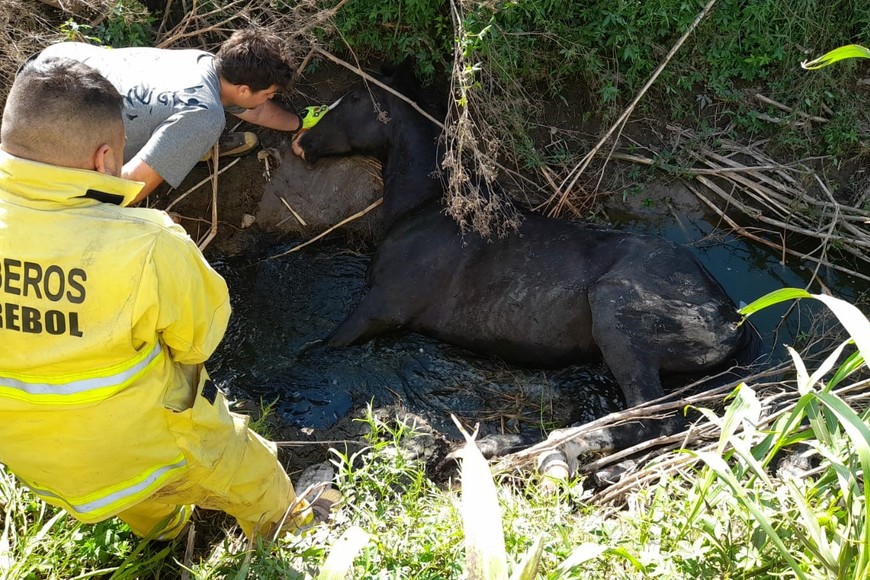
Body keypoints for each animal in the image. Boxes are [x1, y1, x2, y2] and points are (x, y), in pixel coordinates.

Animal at [294, 64, 764, 458]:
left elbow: (318, 347)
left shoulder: (380, 308)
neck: (425, 209)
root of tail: (732, 319)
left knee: (651, 420)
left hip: (618, 317)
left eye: (355, 98)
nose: (302, 142)